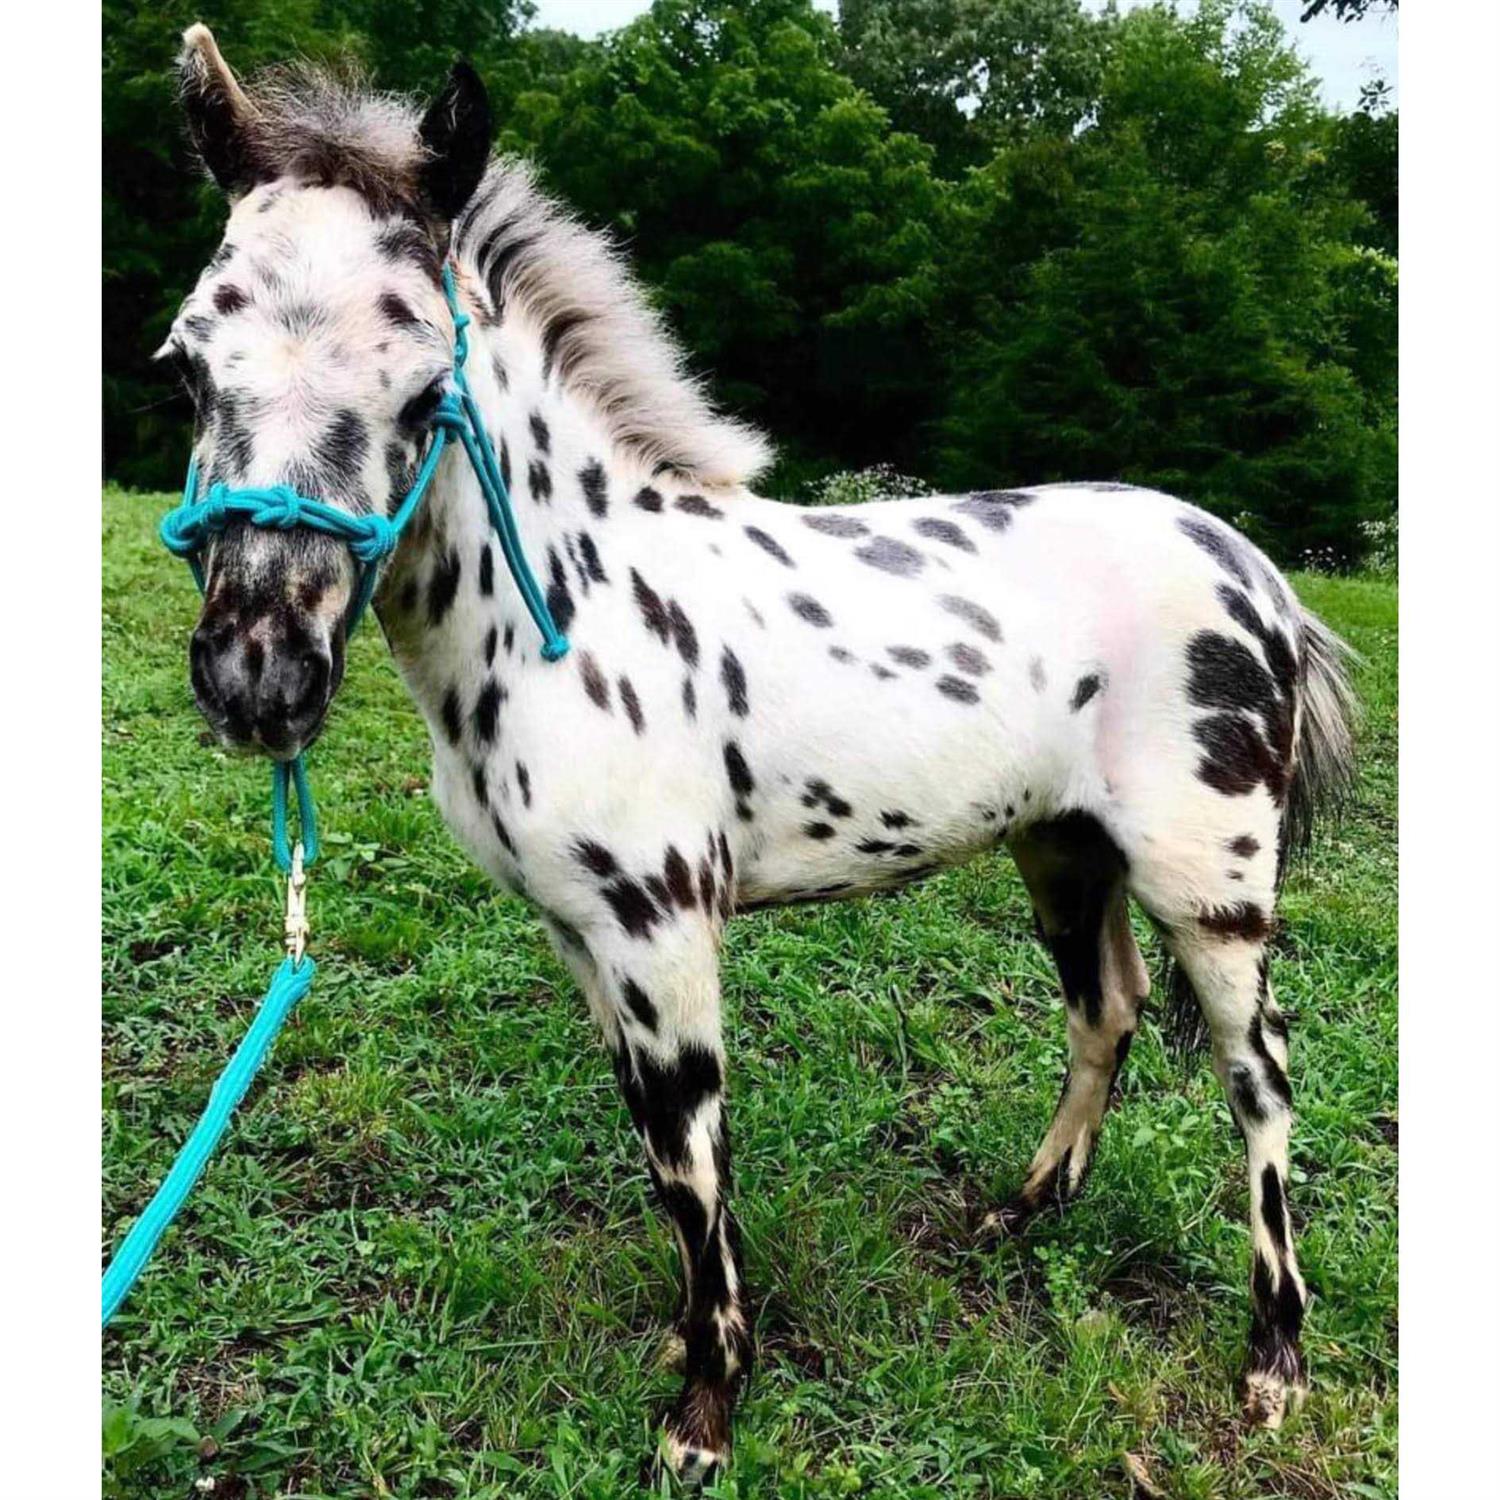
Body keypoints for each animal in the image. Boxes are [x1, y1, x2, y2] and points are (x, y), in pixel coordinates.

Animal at [159, 26, 1357, 1480]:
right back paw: (1022, 1214)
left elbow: (689, 1163)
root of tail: (1260, 575)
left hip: (1212, 886)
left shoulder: (663, 928)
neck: (579, 606)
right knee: (1107, 1010)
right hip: (1065, 853)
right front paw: (694, 1352)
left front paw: (705, 1414)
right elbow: (662, 1153)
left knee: (1262, 1079)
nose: (257, 675)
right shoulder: (583, 936)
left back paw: (1276, 1360)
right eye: (184, 365)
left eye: (424, 386)